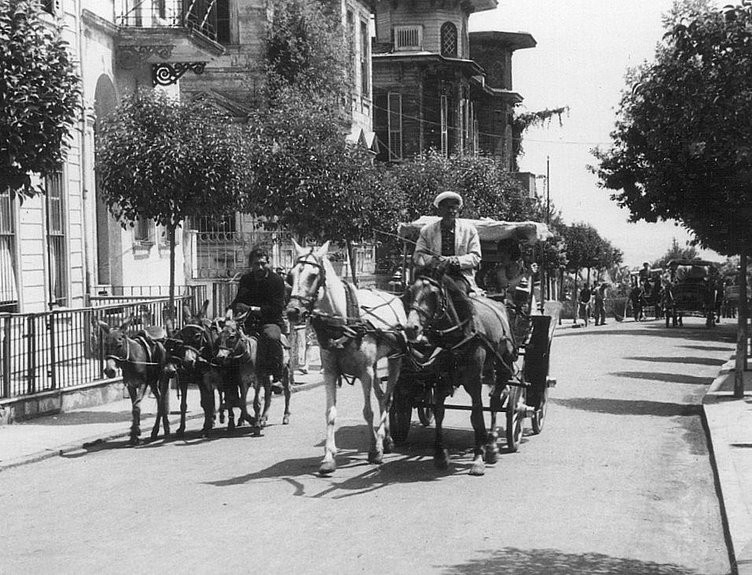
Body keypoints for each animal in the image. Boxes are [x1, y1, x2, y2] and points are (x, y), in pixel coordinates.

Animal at [286, 241, 406, 474]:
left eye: (313, 276)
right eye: (290, 276)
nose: (293, 311)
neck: (342, 323)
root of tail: (394, 296)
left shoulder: (365, 373)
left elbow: (368, 412)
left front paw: (374, 450)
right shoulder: (331, 373)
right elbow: (330, 414)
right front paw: (328, 458)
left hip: (395, 359)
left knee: (388, 399)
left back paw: (382, 440)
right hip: (375, 365)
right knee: (381, 396)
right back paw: (386, 439)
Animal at [402, 274, 520, 476]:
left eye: (433, 294)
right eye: (410, 291)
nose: (411, 328)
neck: (457, 336)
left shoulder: (474, 381)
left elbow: (477, 416)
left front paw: (478, 457)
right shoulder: (441, 379)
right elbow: (439, 413)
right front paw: (440, 455)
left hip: (503, 364)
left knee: (495, 401)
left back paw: (492, 445)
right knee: (496, 395)